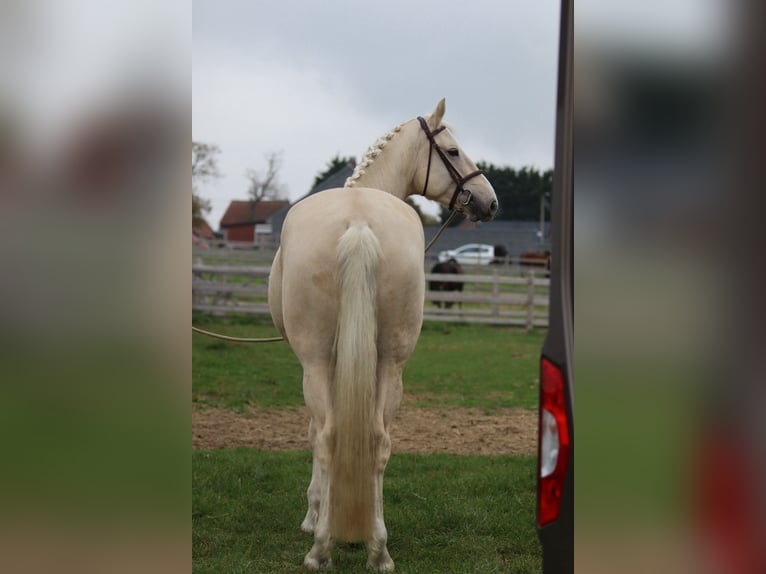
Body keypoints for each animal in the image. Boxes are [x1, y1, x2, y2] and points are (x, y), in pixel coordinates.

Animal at [268, 98, 497, 571]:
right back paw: (378, 548)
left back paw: (321, 548)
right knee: (378, 440)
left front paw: (315, 514)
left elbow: (316, 433)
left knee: (328, 436)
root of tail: (359, 222)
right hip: (391, 363)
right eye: (452, 151)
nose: (490, 201)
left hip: (317, 362)